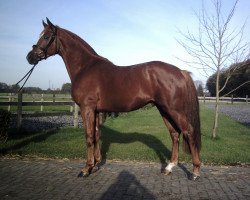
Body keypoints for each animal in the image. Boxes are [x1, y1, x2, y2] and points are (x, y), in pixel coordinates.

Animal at [26, 18, 201, 180]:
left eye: (46, 36)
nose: (30, 57)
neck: (85, 67)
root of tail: (180, 71)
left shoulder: (87, 108)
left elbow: (89, 136)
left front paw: (86, 169)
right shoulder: (97, 111)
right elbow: (96, 135)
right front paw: (96, 165)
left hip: (174, 110)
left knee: (189, 131)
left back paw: (195, 172)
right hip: (164, 110)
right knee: (175, 134)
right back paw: (169, 167)